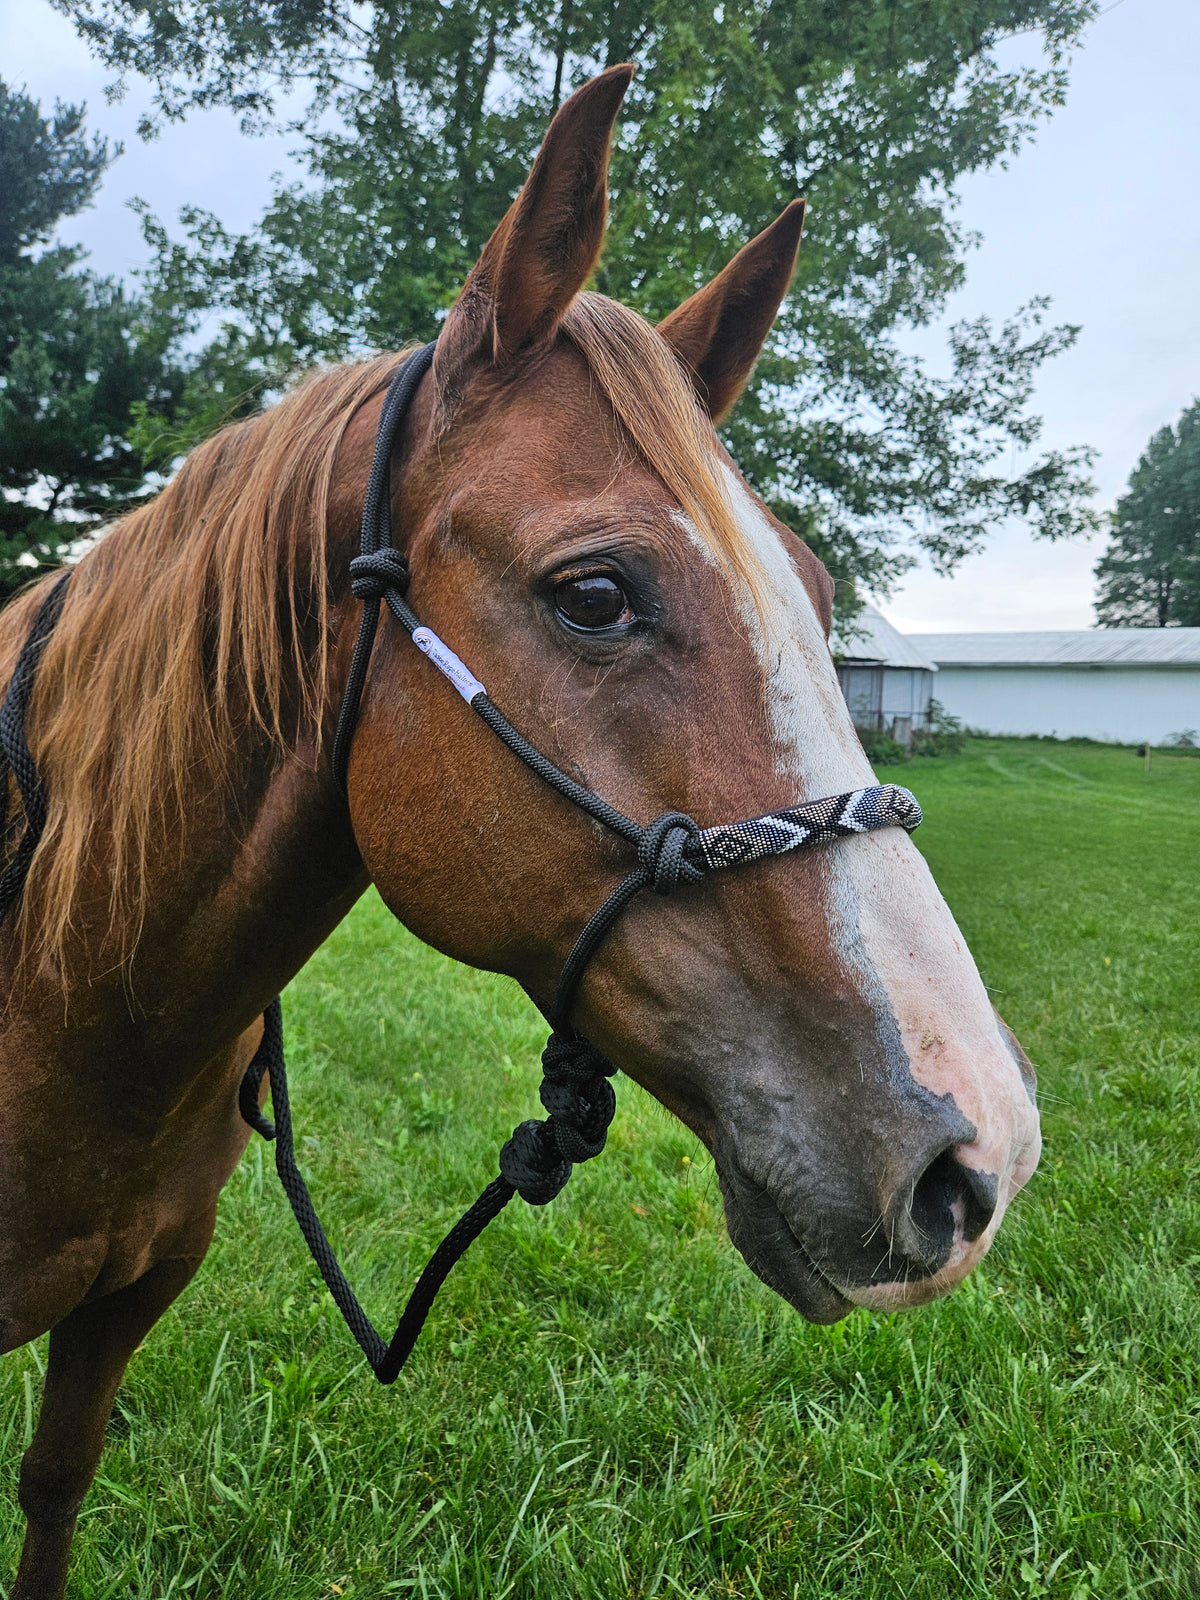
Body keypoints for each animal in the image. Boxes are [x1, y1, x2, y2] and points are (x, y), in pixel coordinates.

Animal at [0, 65, 1040, 1598]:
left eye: (813, 588)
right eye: (595, 593)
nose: (985, 1151)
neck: (73, 999)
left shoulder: (126, 1302)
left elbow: (55, 1487)